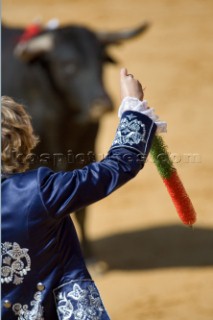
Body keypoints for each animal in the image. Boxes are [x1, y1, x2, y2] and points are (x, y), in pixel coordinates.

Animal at [1, 21, 150, 258]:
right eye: (68, 64)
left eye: (101, 60)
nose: (102, 103)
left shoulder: (84, 156)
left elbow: (81, 210)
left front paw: (90, 255)